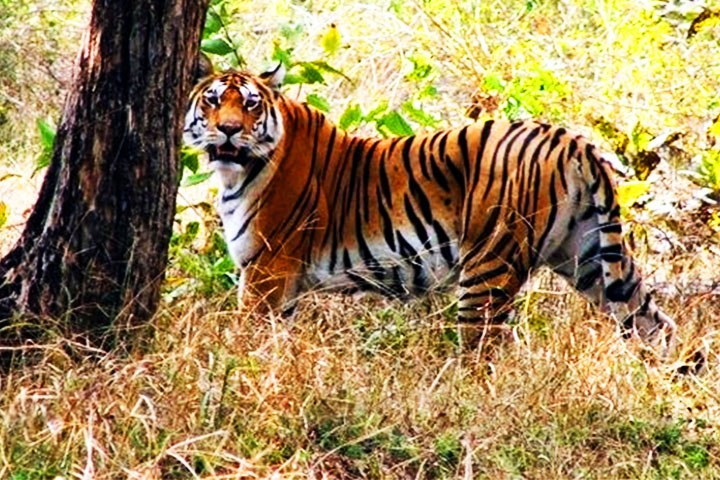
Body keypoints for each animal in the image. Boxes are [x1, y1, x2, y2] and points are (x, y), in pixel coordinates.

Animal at [183, 61, 676, 352]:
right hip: (590, 258)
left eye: (250, 104)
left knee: (483, 355)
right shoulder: (281, 283)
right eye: (213, 100)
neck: (236, 172)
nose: (229, 130)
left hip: (489, 266)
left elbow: (246, 338)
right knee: (656, 325)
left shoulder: (267, 271)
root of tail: (572, 140)